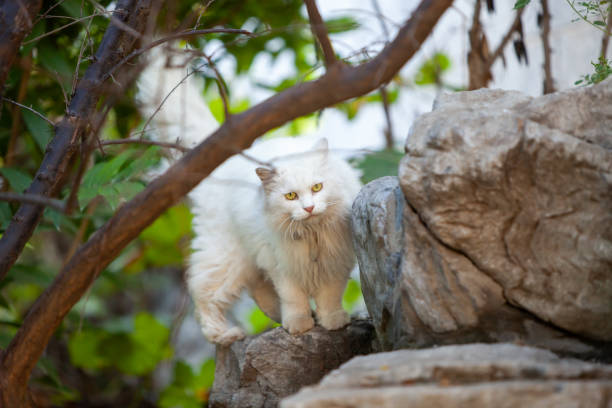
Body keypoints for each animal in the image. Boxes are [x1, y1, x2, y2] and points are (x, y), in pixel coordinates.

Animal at [136, 50, 360, 344]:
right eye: (291, 196)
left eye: (317, 188)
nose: (309, 208)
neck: (312, 234)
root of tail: (226, 161)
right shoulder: (282, 267)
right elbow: (294, 299)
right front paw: (299, 325)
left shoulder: (335, 264)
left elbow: (330, 297)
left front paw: (332, 321)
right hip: (227, 257)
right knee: (203, 292)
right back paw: (224, 334)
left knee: (259, 292)